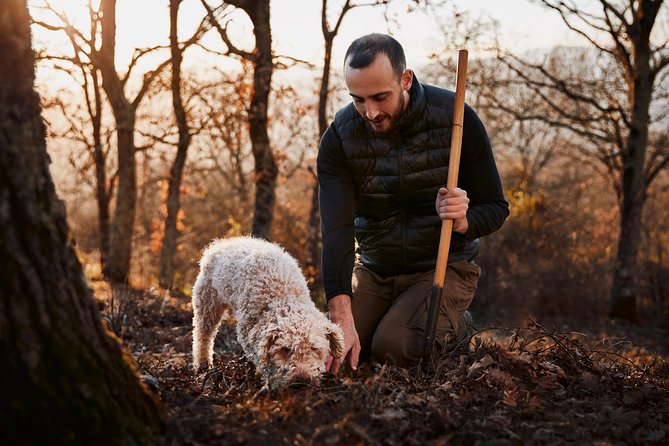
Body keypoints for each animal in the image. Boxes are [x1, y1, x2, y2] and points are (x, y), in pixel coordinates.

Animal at [190, 237, 342, 386]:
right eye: (285, 349)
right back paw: (203, 366)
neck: (284, 294)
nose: (302, 380)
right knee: (203, 337)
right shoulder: (248, 332)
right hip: (207, 303)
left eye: (314, 349)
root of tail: (220, 244)